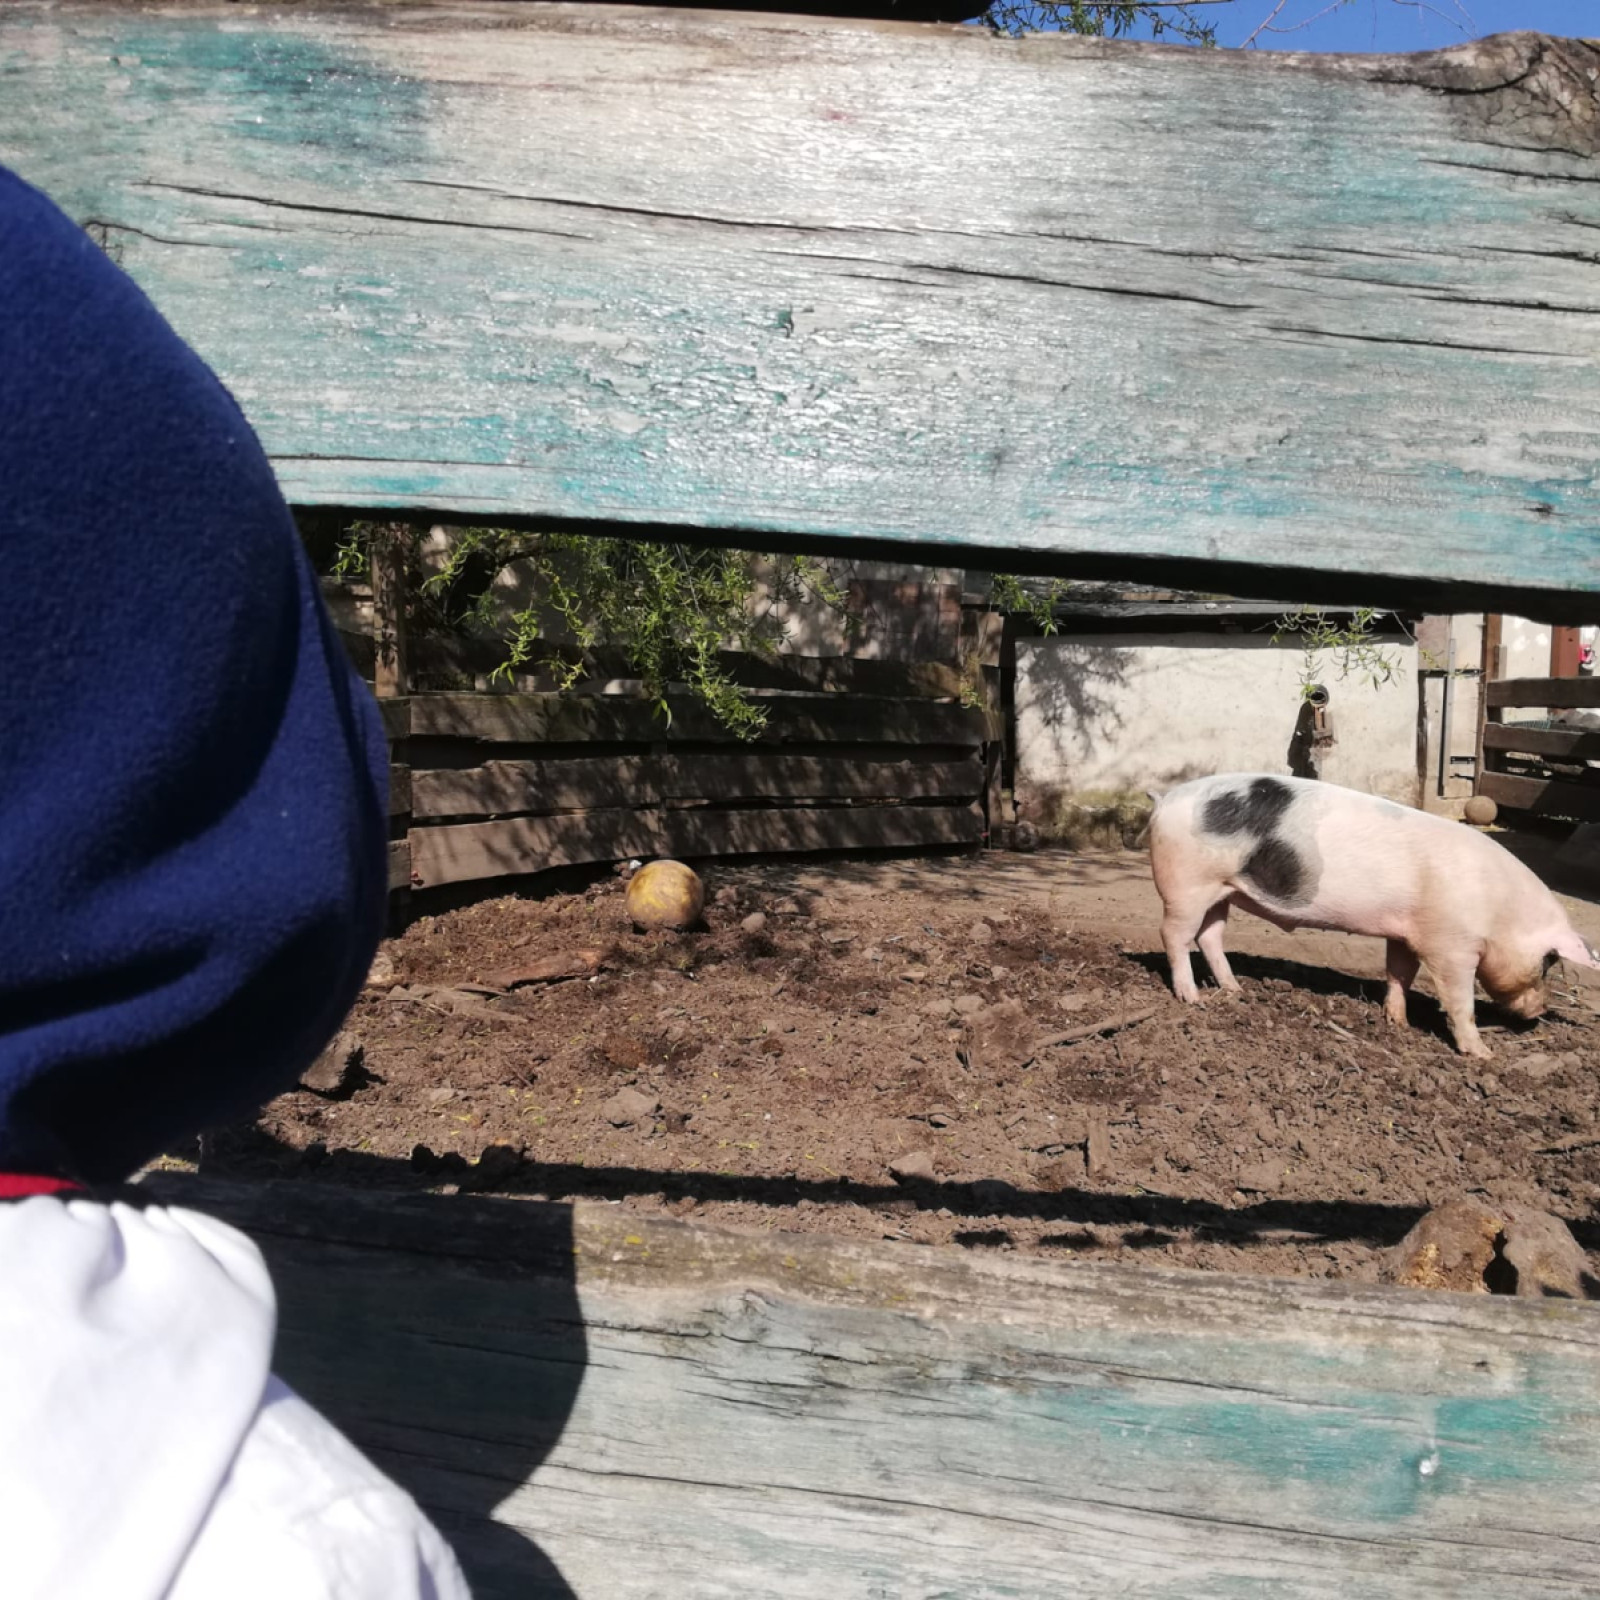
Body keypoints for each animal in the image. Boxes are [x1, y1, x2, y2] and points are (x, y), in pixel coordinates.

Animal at [1147, 773, 1597, 1057]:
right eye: (1549, 959)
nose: (1539, 1012)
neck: (1500, 909)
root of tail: (1165, 800)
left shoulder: (1405, 934)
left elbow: (1399, 973)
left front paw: (1397, 1022)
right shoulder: (1450, 946)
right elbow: (1459, 1000)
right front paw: (1484, 1055)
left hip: (1222, 891)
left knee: (1210, 936)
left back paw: (1235, 990)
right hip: (1185, 884)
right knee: (1174, 935)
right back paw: (1191, 998)